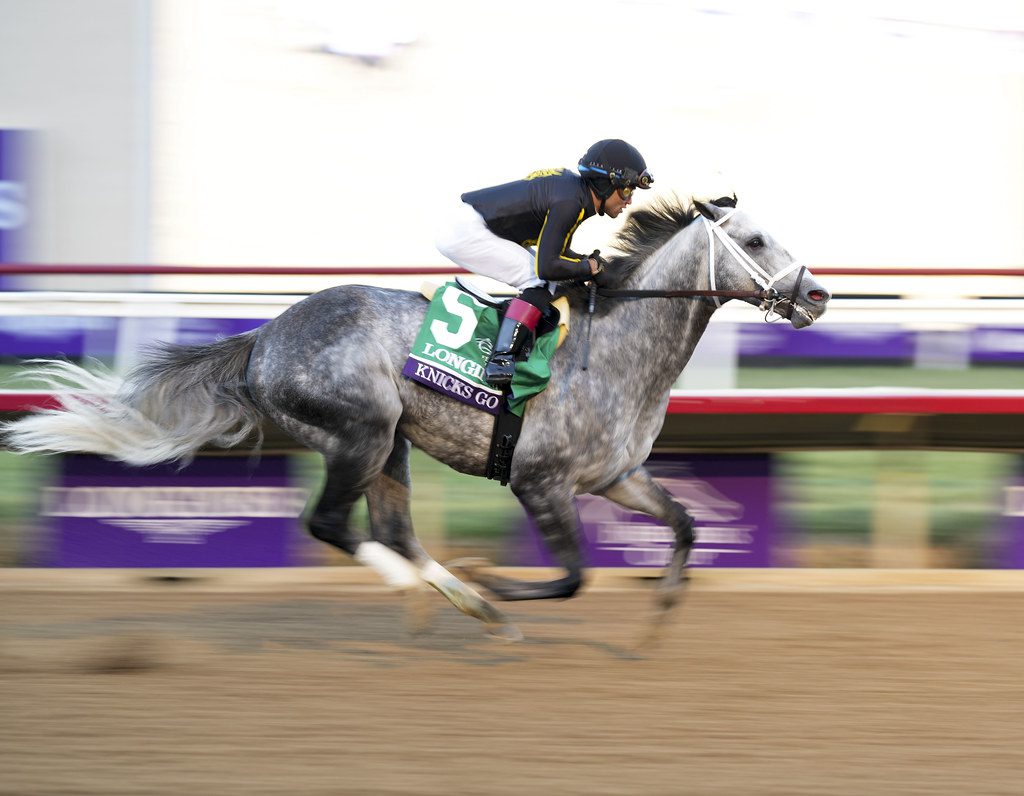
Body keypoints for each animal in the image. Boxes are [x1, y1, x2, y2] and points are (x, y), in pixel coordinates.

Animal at [2, 196, 831, 639]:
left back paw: (461, 600)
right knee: (333, 524)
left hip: (389, 443)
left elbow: (686, 524)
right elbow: (572, 577)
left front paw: (660, 611)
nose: (817, 294)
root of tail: (265, 336)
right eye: (755, 240)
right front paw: (499, 581)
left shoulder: (616, 477)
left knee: (393, 528)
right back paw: (446, 592)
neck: (618, 348)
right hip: (358, 431)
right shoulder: (539, 481)